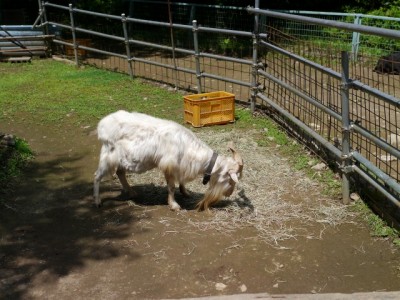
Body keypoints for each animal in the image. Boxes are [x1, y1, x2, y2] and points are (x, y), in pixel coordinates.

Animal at [94, 110, 244, 211]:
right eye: (232, 180)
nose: (229, 194)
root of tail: (102, 124)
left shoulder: (181, 166)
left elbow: (181, 181)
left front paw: (185, 193)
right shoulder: (169, 166)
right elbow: (171, 187)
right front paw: (174, 205)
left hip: (121, 159)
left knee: (120, 173)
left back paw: (131, 192)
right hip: (108, 155)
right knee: (97, 176)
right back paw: (97, 201)